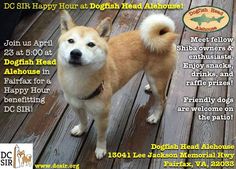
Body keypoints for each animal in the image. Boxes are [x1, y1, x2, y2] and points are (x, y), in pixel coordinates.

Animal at [57, 10, 177, 158]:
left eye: (91, 44)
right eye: (71, 41)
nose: (75, 53)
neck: (78, 79)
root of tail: (165, 34)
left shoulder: (102, 115)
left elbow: (101, 136)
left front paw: (100, 149)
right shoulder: (76, 106)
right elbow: (83, 120)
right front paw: (81, 129)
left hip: (157, 81)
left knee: (162, 100)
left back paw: (155, 117)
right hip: (152, 77)